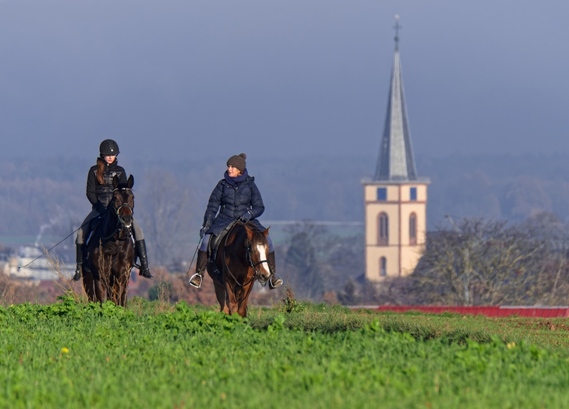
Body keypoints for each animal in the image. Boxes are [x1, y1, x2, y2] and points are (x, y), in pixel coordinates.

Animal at [83, 174, 135, 304]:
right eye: (115, 197)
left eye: (133, 197)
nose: (126, 219)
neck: (114, 242)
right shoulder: (100, 277)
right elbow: (102, 302)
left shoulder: (121, 276)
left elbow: (117, 301)